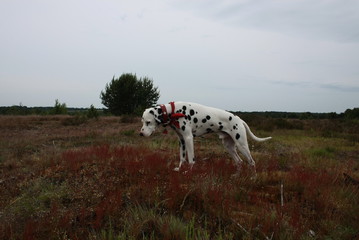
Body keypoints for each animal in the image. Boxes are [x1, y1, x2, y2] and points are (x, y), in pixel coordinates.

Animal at [141, 102, 272, 172]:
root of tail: (239, 119)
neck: (173, 111)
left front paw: (188, 172)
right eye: (143, 121)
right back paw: (236, 177)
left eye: (148, 122)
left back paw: (253, 179)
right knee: (239, 162)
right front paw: (179, 169)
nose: (141, 134)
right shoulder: (182, 140)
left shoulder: (188, 138)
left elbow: (191, 159)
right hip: (229, 147)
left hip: (242, 145)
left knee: (252, 162)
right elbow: (182, 158)